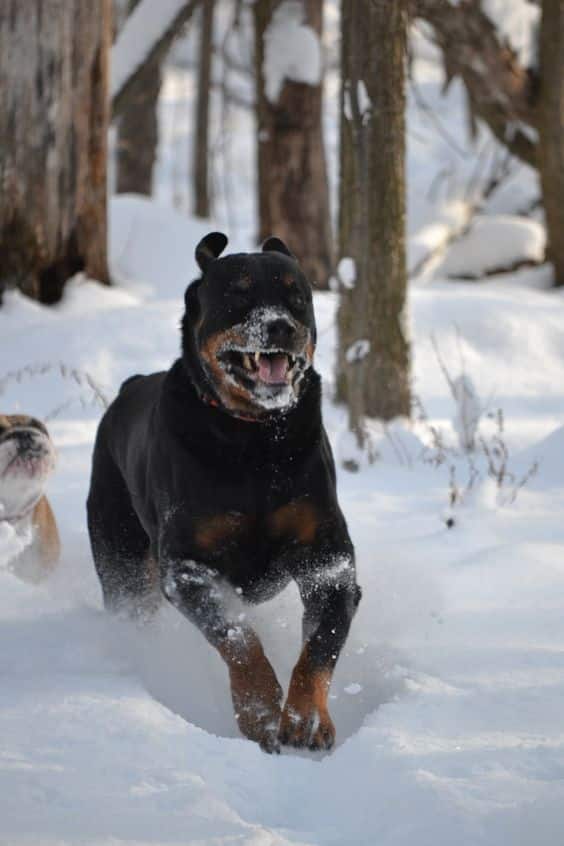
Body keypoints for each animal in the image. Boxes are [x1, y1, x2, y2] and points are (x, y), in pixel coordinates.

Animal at [88, 234, 362, 756]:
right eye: (238, 292)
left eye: (297, 295)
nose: (280, 325)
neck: (254, 443)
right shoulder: (187, 566)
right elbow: (239, 640)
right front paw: (261, 712)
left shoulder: (327, 558)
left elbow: (321, 643)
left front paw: (307, 719)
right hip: (123, 562)